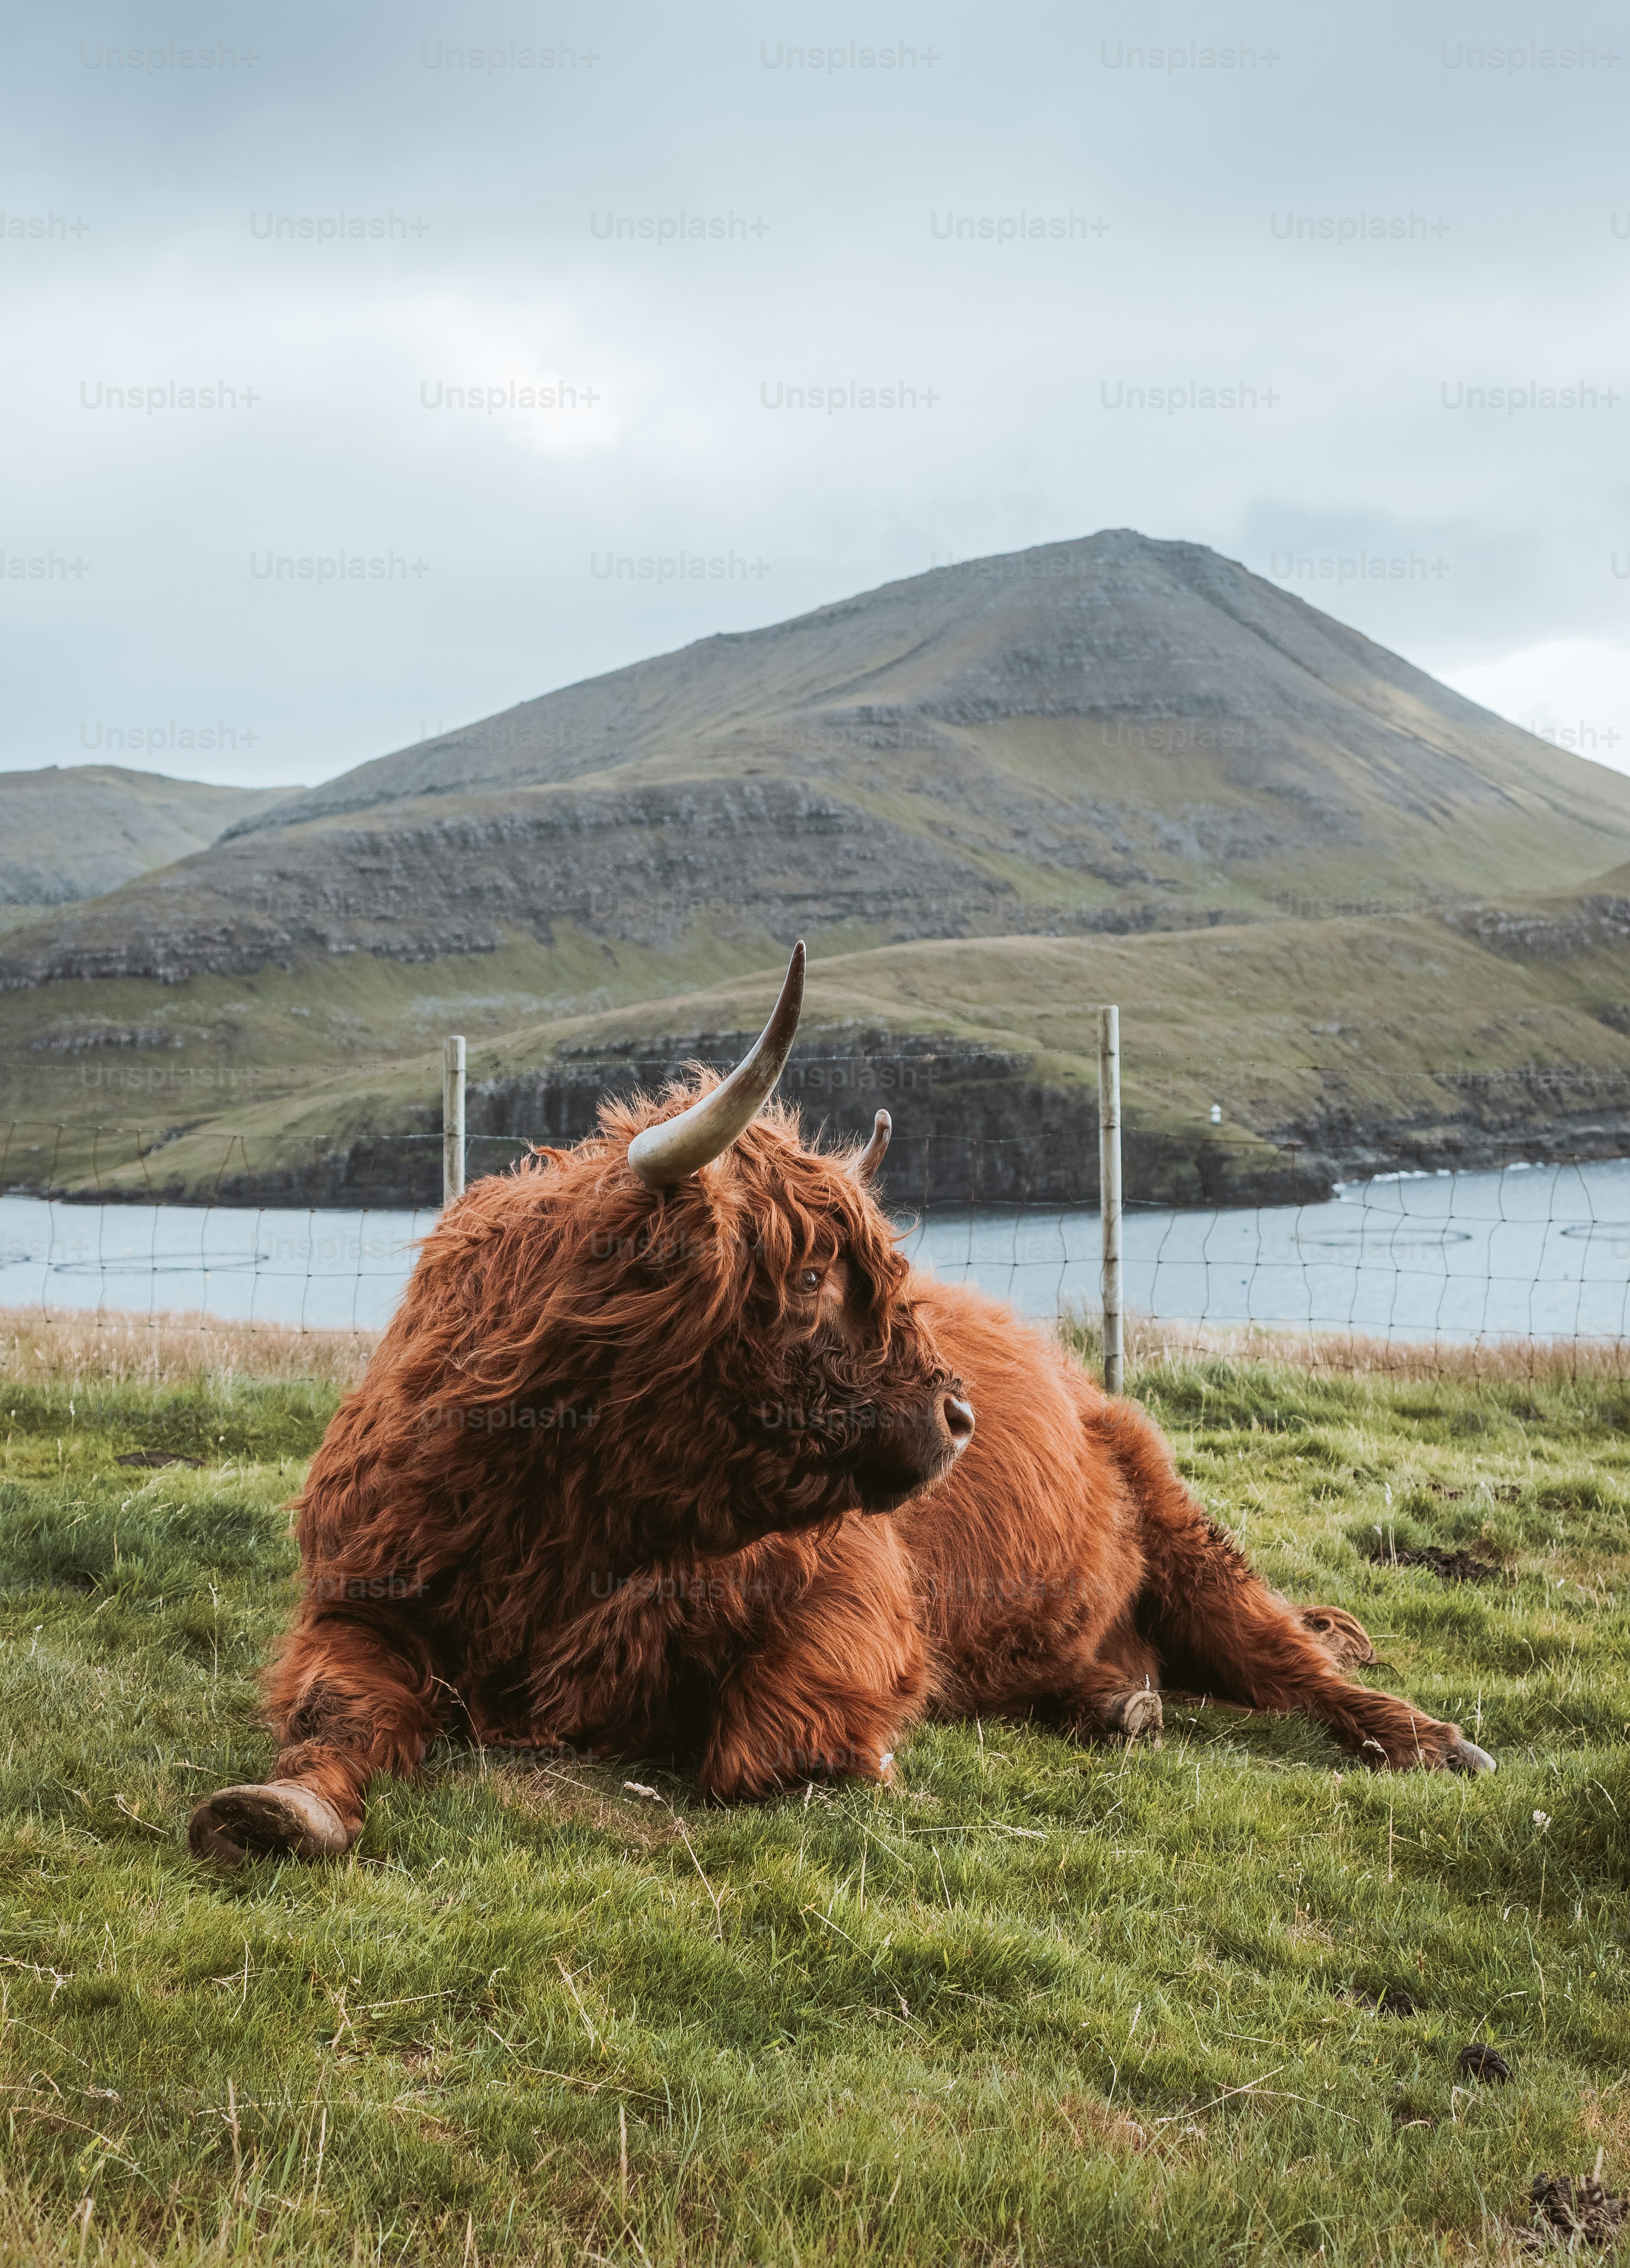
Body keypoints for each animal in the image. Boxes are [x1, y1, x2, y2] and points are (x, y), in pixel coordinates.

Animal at [189, 945, 1494, 1867]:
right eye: (811, 1277)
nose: (960, 1418)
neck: (570, 1521)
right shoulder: (363, 1592)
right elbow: (338, 1704)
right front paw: (277, 1808)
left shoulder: (851, 1596)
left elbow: (760, 1749)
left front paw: (860, 1757)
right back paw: (1115, 1701)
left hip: (1188, 1536)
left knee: (1290, 1663)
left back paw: (1421, 1741)